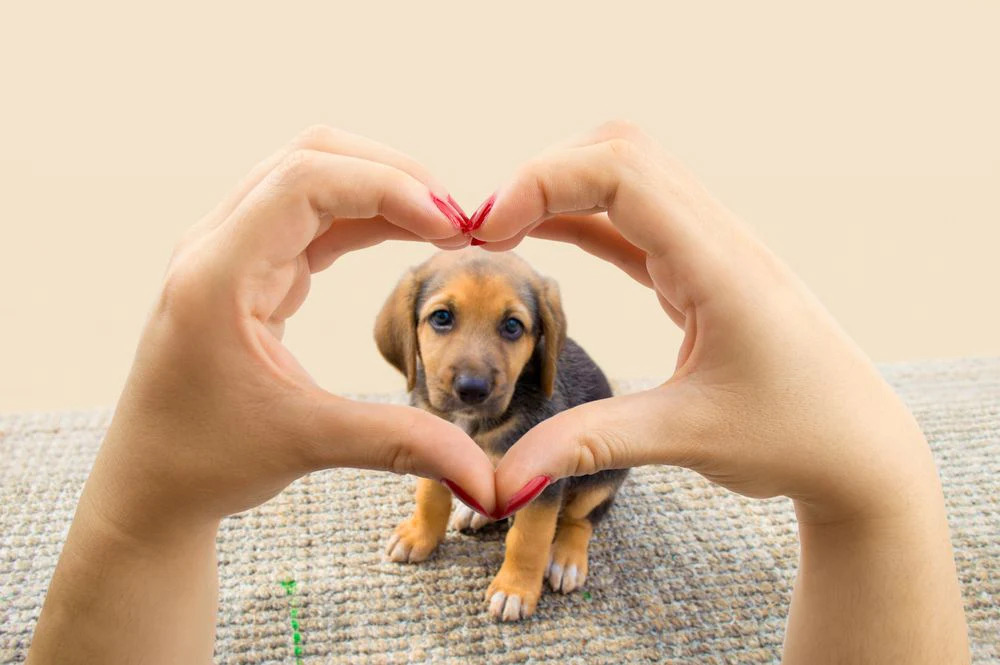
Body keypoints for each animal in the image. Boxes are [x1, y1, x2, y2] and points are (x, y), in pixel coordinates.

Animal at [376, 249, 624, 624]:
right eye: (442, 317)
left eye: (512, 326)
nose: (471, 389)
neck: (474, 423)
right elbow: (430, 499)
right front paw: (420, 535)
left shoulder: (542, 483)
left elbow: (528, 540)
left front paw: (514, 589)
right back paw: (473, 511)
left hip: (601, 478)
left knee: (581, 519)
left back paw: (565, 558)